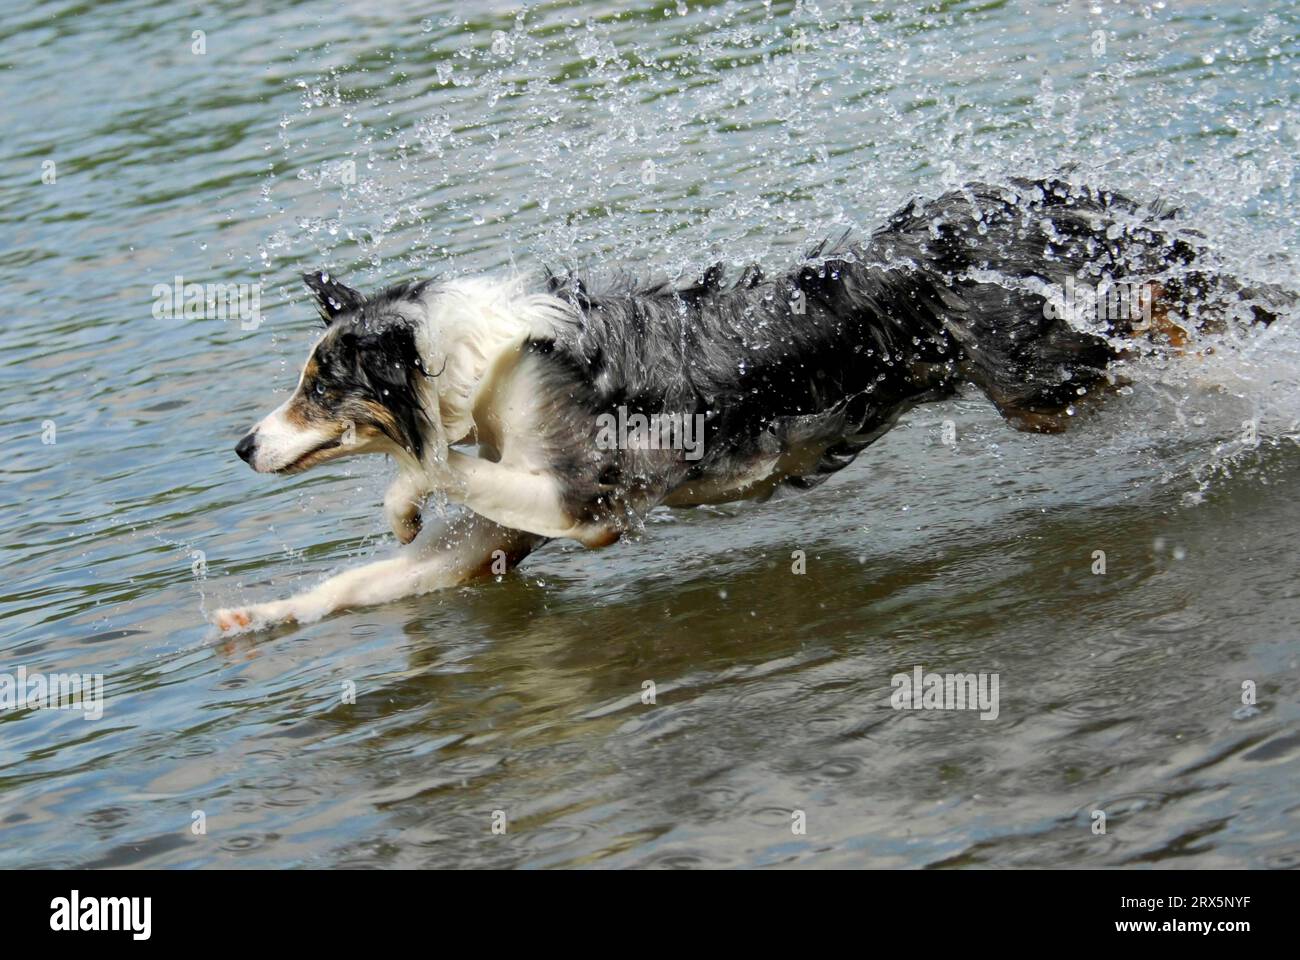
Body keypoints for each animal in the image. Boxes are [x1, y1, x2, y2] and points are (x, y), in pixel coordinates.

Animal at [215, 175, 1289, 632]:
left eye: (317, 388)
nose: (239, 446)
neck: (482, 364)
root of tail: (1033, 203)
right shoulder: (501, 535)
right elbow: (366, 576)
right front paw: (251, 615)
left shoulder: (585, 505)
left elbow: (438, 461)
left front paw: (401, 491)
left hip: (1042, 378)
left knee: (1182, 335)